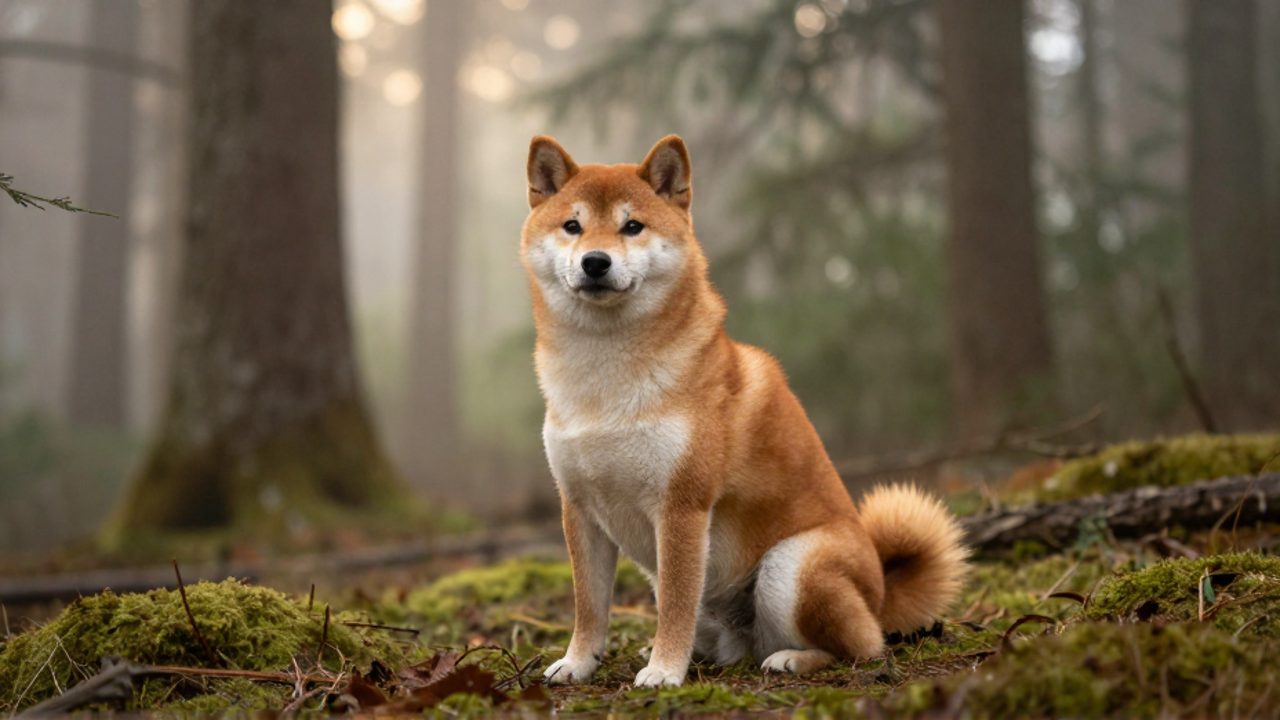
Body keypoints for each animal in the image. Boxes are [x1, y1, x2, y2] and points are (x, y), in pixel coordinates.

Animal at [521, 134, 970, 688]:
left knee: (863, 646)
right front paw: (579, 662)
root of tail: (882, 595)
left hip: (790, 567)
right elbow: (589, 606)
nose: (595, 262)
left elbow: (675, 605)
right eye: (572, 226)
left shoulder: (683, 508)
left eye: (632, 226)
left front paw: (663, 671)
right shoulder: (579, 508)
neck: (604, 377)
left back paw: (793, 658)